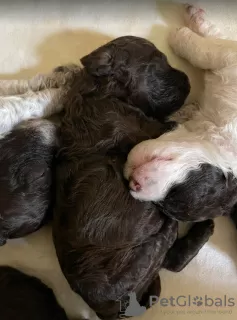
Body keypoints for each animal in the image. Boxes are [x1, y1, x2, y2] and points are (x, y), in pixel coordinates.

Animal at [53, 36, 215, 318]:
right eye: (158, 63)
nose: (188, 80)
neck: (102, 90)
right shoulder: (140, 127)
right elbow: (168, 127)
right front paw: (190, 112)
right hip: (141, 257)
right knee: (170, 258)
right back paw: (196, 227)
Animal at [124, 6, 237, 224]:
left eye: (172, 197)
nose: (133, 184)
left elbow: (209, 50)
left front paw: (181, 35)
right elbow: (211, 47)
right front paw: (189, 27)